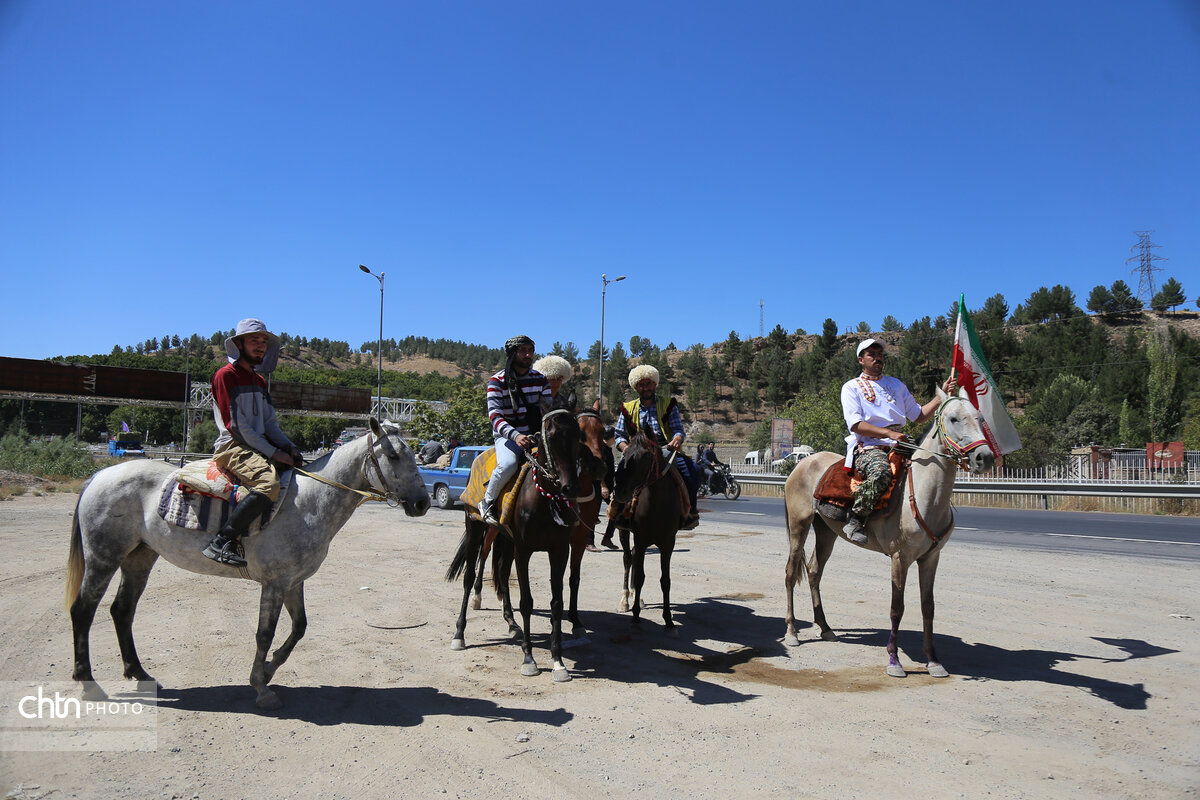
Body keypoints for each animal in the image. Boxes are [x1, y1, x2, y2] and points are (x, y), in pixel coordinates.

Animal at [448, 402, 583, 681]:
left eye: (578, 436)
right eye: (551, 436)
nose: (570, 488)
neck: (543, 500)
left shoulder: (559, 550)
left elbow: (556, 602)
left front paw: (558, 661)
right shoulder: (524, 550)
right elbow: (527, 602)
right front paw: (529, 658)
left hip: (505, 540)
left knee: (501, 573)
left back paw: (511, 624)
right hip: (476, 528)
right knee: (469, 577)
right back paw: (459, 634)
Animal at [614, 429, 681, 633]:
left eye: (646, 456)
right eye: (625, 452)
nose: (620, 491)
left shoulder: (668, 543)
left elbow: (665, 580)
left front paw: (669, 621)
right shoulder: (641, 538)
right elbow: (641, 576)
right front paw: (635, 616)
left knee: (634, 556)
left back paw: (636, 596)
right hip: (624, 531)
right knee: (628, 558)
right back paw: (625, 599)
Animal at [777, 391, 993, 681]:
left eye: (980, 418)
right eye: (953, 418)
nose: (985, 457)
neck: (923, 494)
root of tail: (802, 464)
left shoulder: (931, 558)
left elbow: (928, 607)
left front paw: (933, 661)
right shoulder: (900, 558)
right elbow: (896, 608)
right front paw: (894, 660)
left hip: (826, 532)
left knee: (813, 571)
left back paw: (825, 628)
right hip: (799, 525)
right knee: (791, 573)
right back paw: (792, 632)